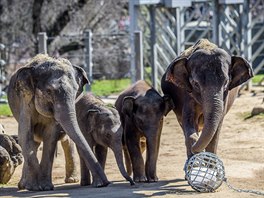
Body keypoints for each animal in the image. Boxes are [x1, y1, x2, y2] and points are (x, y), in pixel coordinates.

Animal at [6, 54, 109, 190]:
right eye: (49, 91)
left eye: (76, 91)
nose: (105, 183)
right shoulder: (25, 101)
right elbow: (25, 135)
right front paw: (35, 187)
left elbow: (50, 137)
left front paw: (45, 187)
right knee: (34, 141)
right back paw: (23, 185)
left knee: (67, 140)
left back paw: (71, 180)